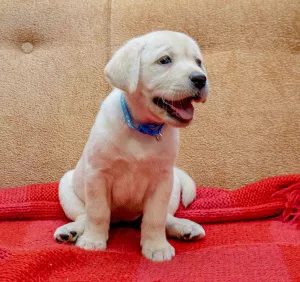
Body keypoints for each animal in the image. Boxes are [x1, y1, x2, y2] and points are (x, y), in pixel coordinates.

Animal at [54, 29, 209, 262]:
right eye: (165, 60)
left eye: (198, 62)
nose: (200, 78)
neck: (142, 129)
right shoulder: (98, 175)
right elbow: (97, 213)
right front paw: (93, 241)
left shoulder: (161, 180)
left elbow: (155, 218)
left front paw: (156, 246)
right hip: (67, 187)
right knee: (83, 215)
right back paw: (71, 231)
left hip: (173, 187)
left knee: (164, 217)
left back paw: (184, 227)